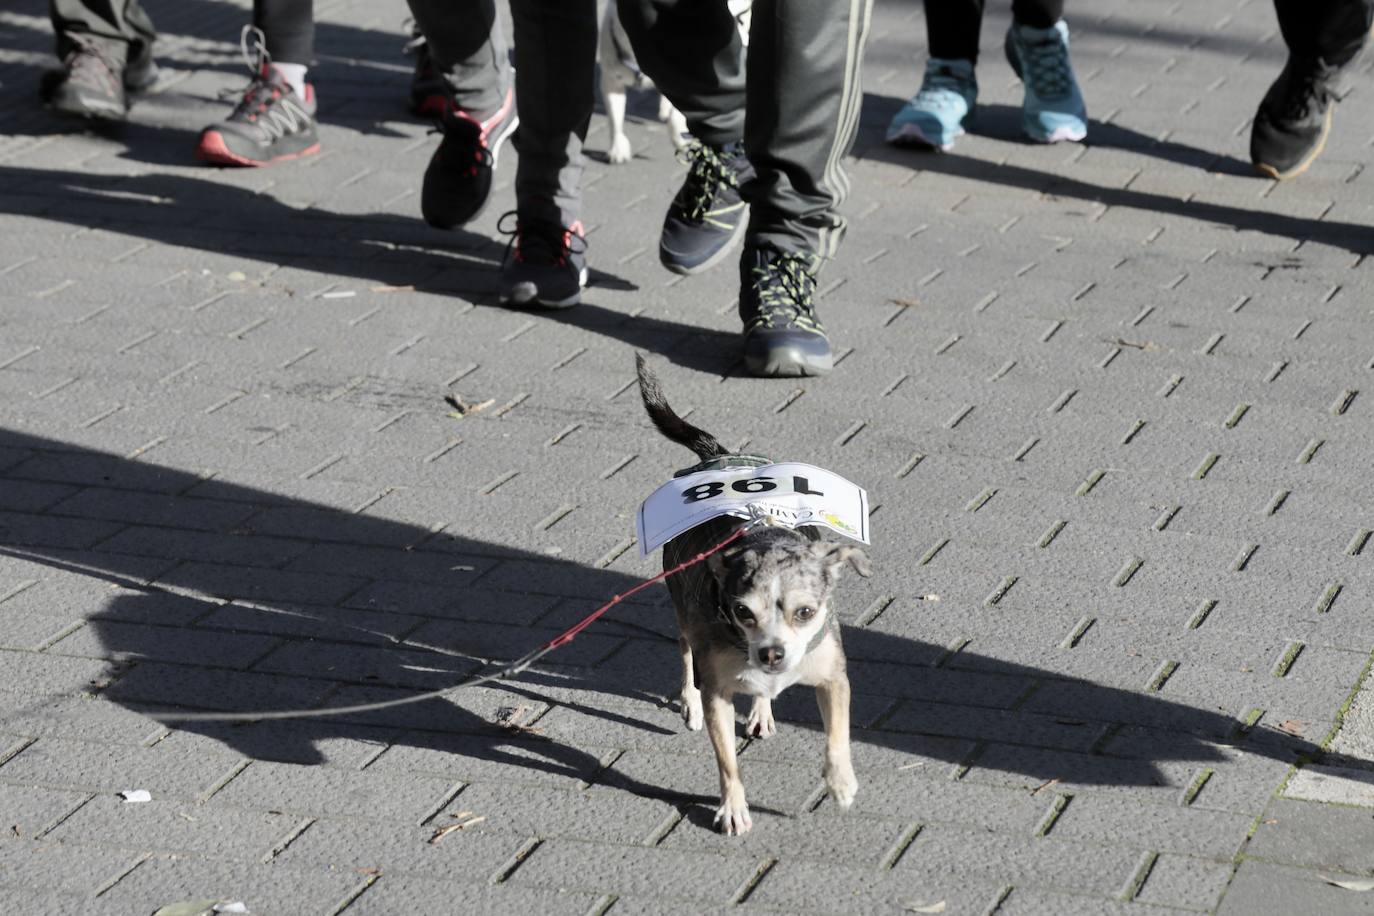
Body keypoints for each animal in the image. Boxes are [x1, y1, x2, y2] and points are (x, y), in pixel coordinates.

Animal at [634, 354, 868, 834]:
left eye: (806, 612)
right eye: (742, 612)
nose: (772, 653)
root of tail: (719, 458)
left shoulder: (833, 679)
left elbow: (837, 737)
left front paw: (840, 783)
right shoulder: (718, 694)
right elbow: (727, 762)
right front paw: (733, 808)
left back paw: (762, 710)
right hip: (682, 606)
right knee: (685, 650)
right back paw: (689, 702)